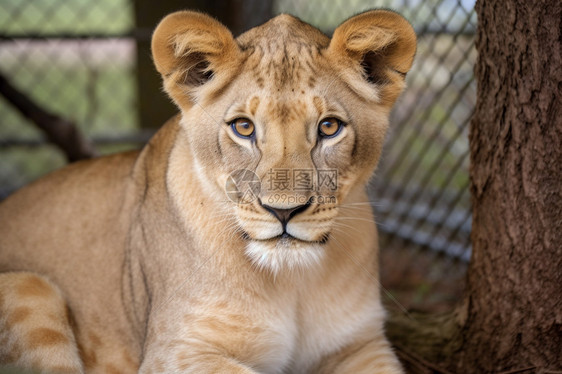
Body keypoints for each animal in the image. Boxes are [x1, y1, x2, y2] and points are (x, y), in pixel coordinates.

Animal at [0, 9, 412, 374]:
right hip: (29, 288)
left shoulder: (361, 345)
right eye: (244, 127)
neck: (291, 282)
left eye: (329, 127)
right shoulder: (176, 353)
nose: (283, 211)